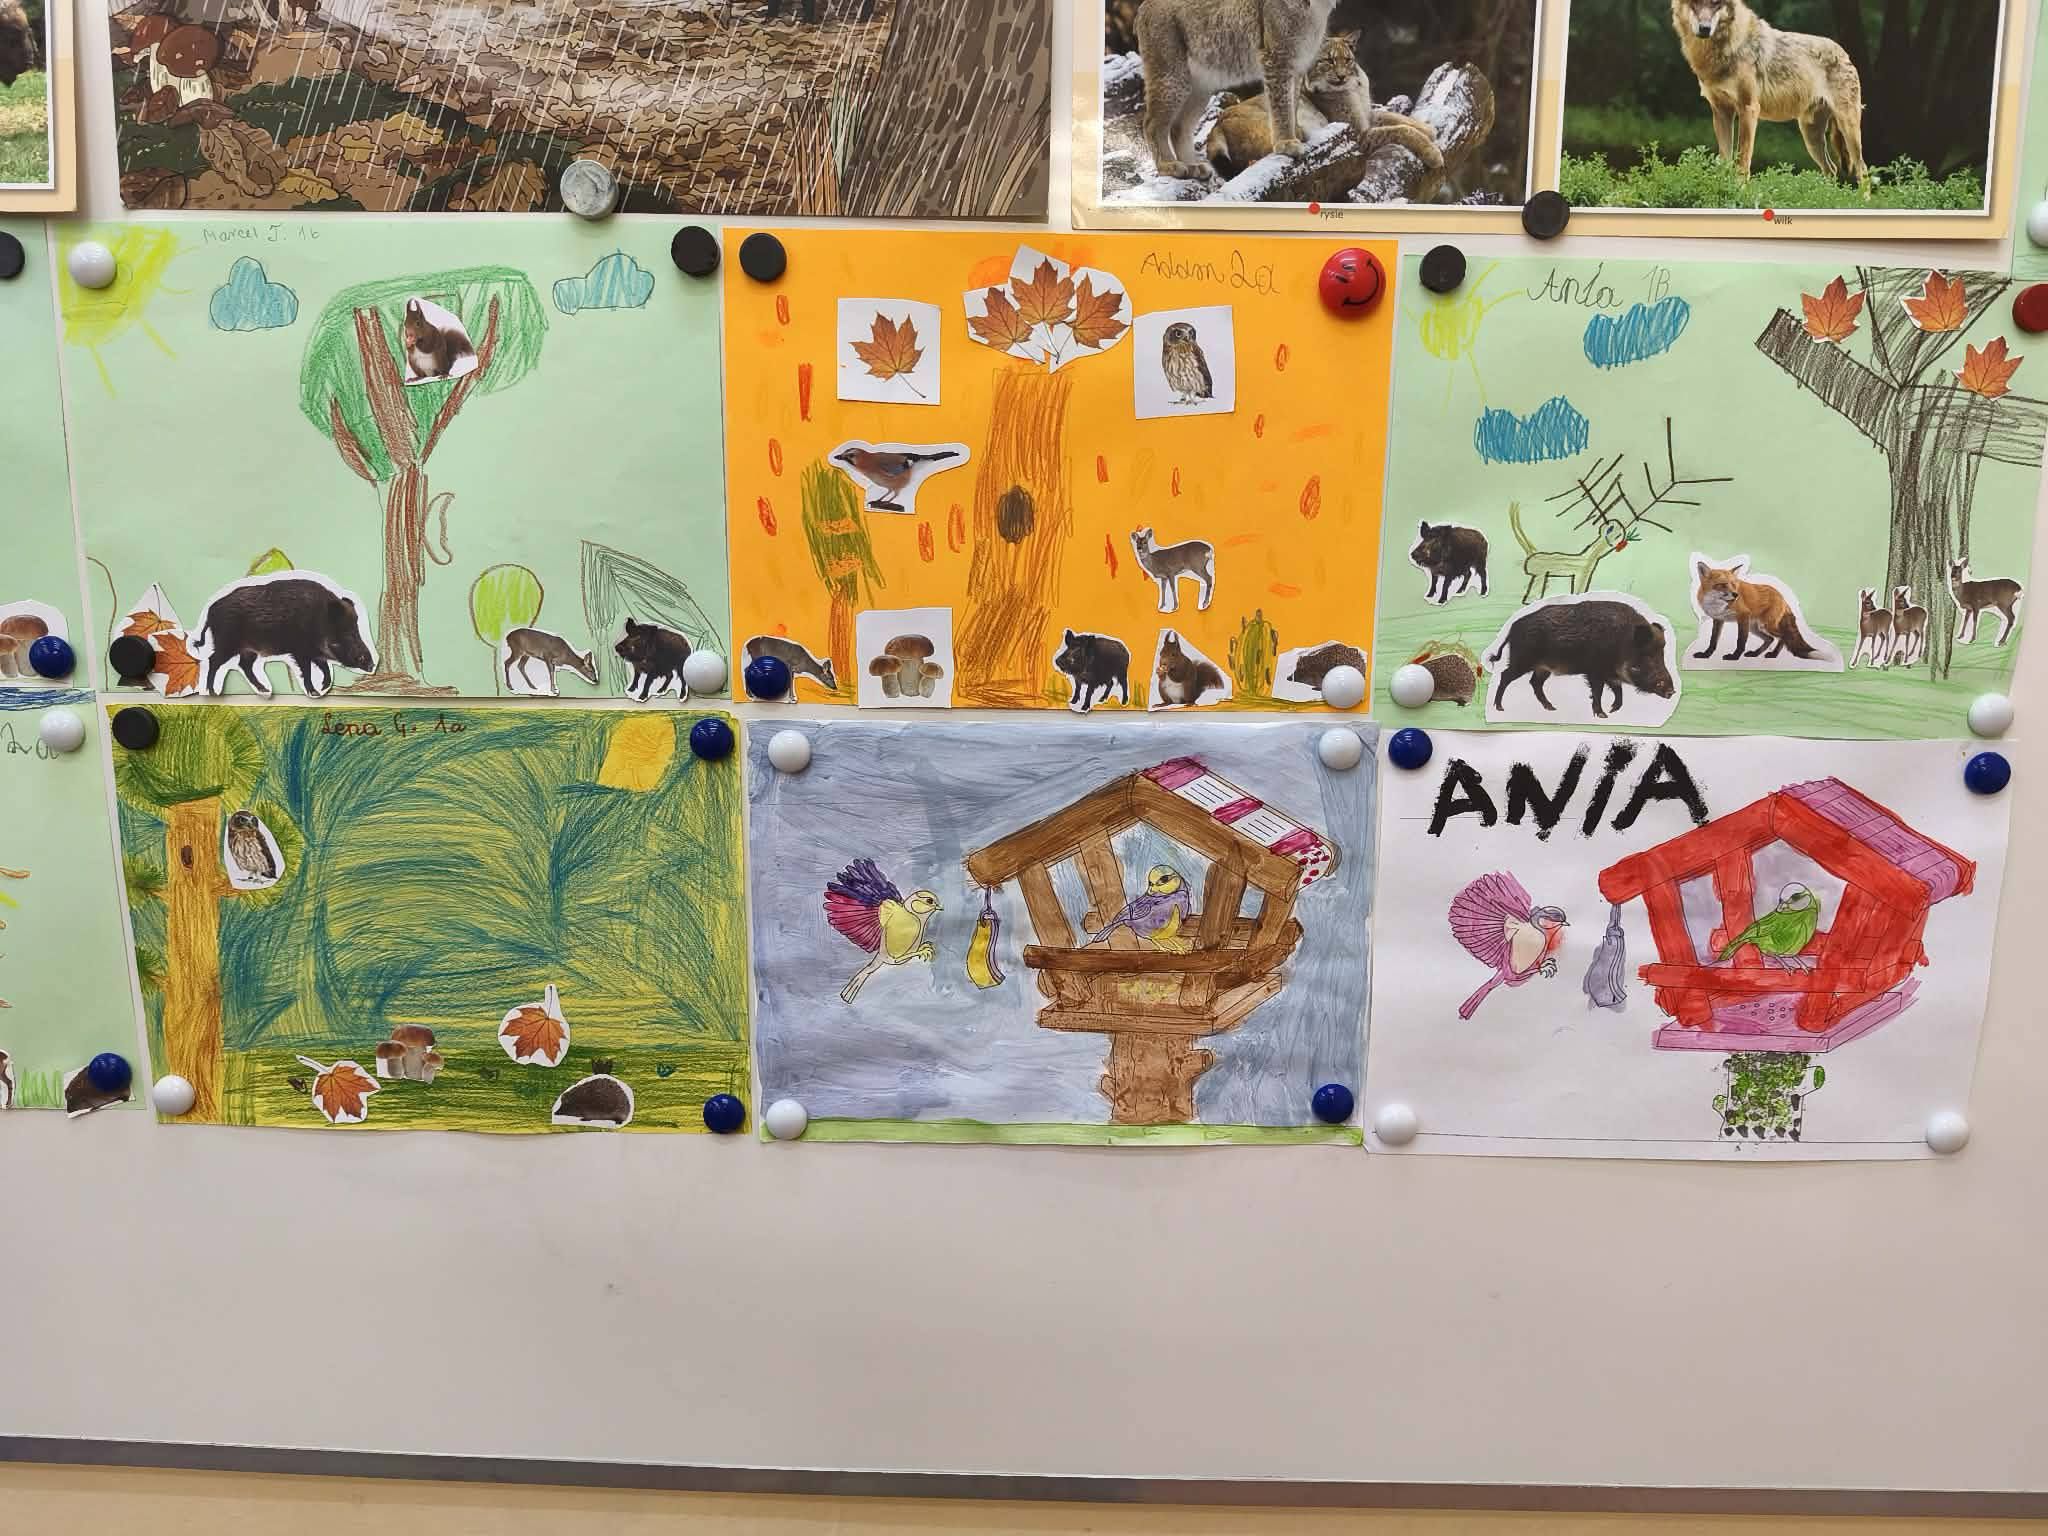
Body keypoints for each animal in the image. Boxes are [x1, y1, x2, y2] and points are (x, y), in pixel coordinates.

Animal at [1136, 0, 1342, 178]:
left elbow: (1292, 104)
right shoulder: (1276, 58)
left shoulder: (1298, 63)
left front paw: (1295, 134)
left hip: (1201, 83)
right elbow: (1281, 106)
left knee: (1179, 126)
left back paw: (1194, 167)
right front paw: (1285, 143)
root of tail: (1143, 5)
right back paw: (1169, 166)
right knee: (1151, 123)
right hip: (1172, 74)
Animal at [1204, 32, 1442, 179]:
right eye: (1328, 61)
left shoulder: (1366, 114)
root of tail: (1216, 124)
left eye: (1347, 60)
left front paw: (1428, 129)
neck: (1354, 87)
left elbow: (1397, 118)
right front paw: (1432, 153)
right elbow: (1400, 130)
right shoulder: (1359, 134)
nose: (1341, 76)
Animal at [1671, 0, 1868, 193]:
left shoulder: (1748, 109)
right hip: (1810, 135)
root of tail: (1844, 53)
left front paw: (1740, 192)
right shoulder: (1721, 112)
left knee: (1862, 169)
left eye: (1715, 4)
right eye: (1695, 4)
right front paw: (1723, 191)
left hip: (1848, 128)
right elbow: (1724, 161)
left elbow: (1742, 161)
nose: (1705, 28)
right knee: (1831, 169)